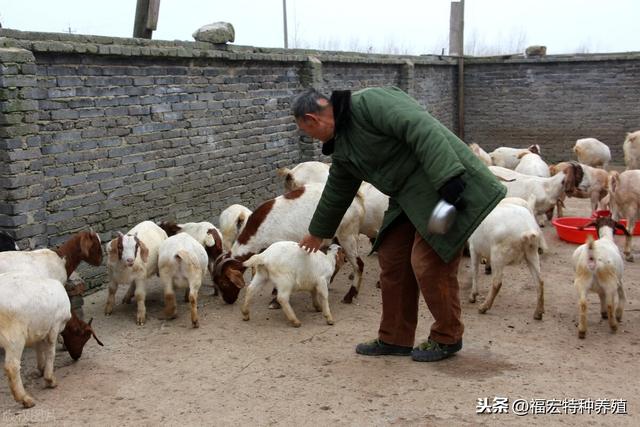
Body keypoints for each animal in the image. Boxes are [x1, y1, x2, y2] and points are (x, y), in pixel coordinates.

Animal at [0, 272, 70, 410]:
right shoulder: (54, 325)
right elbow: (50, 351)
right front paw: (50, 380)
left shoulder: (39, 329)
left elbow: (39, 347)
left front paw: (41, 368)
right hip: (14, 336)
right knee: (12, 366)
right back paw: (25, 399)